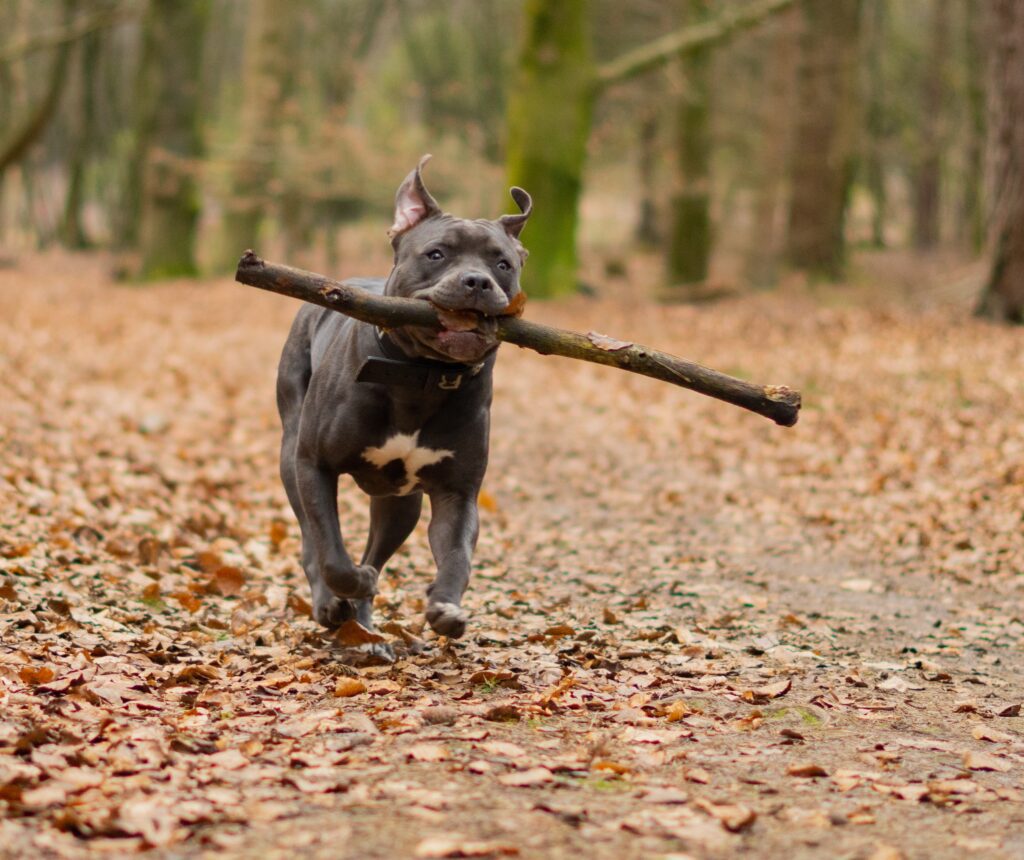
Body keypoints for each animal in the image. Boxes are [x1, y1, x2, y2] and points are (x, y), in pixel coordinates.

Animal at [278, 157, 536, 647]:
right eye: (436, 254)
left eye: (503, 264)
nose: (477, 281)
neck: (421, 378)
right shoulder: (314, 465)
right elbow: (330, 550)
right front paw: (347, 583)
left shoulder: (458, 492)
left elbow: (457, 554)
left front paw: (446, 606)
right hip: (290, 453)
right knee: (310, 541)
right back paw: (332, 603)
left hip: (400, 504)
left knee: (376, 549)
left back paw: (363, 625)